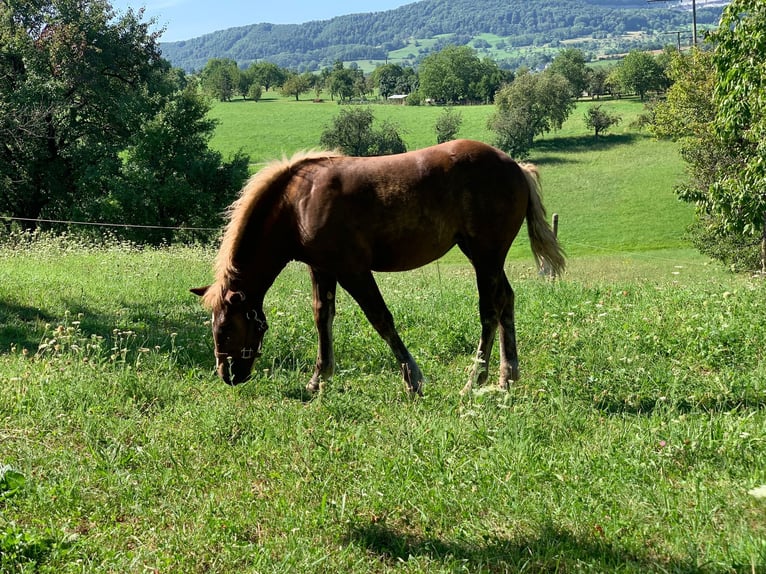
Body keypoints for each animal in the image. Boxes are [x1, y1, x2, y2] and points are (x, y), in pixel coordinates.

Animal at [191, 139, 565, 395]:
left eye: (226, 329)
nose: (228, 375)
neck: (298, 203)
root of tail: (516, 167)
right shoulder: (322, 269)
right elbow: (322, 317)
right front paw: (318, 379)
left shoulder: (353, 270)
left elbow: (380, 318)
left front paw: (413, 379)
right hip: (486, 257)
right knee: (506, 301)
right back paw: (506, 376)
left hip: (485, 255)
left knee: (489, 309)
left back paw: (475, 380)